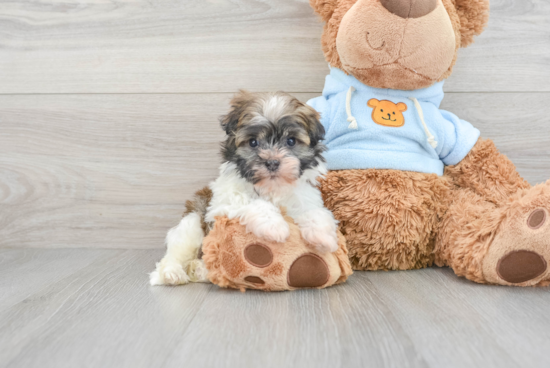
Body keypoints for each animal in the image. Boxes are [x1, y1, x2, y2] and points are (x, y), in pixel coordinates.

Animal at [151, 90, 340, 286]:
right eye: (253, 142)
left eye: (291, 141)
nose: (272, 162)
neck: (270, 187)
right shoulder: (223, 203)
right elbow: (254, 203)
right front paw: (275, 226)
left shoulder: (304, 197)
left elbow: (314, 211)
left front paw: (323, 236)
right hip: (192, 222)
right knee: (175, 254)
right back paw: (173, 273)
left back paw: (201, 270)